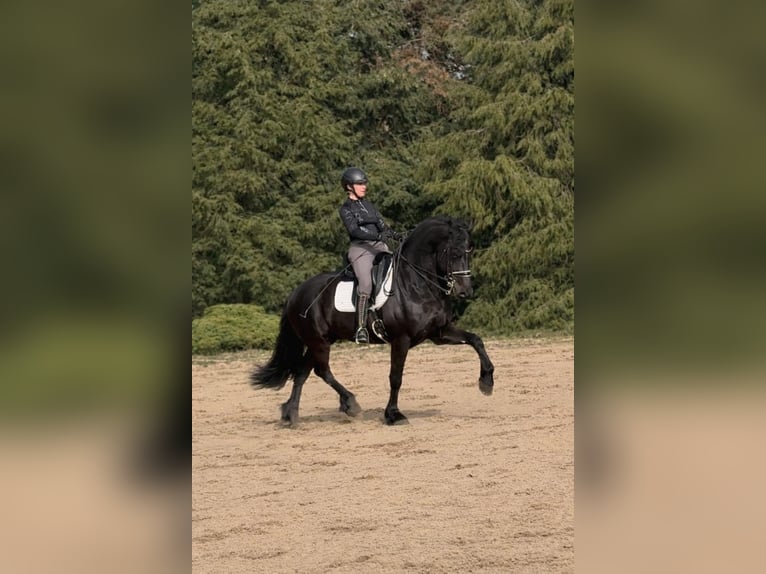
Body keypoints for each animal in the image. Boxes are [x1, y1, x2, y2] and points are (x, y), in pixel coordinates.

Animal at [250, 215, 495, 425]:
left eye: (469, 250)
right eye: (453, 252)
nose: (465, 291)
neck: (415, 284)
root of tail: (296, 293)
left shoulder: (439, 333)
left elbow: (476, 340)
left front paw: (486, 382)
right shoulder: (401, 339)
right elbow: (395, 377)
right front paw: (393, 415)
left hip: (320, 340)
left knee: (303, 372)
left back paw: (290, 414)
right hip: (318, 341)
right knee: (321, 371)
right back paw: (349, 403)